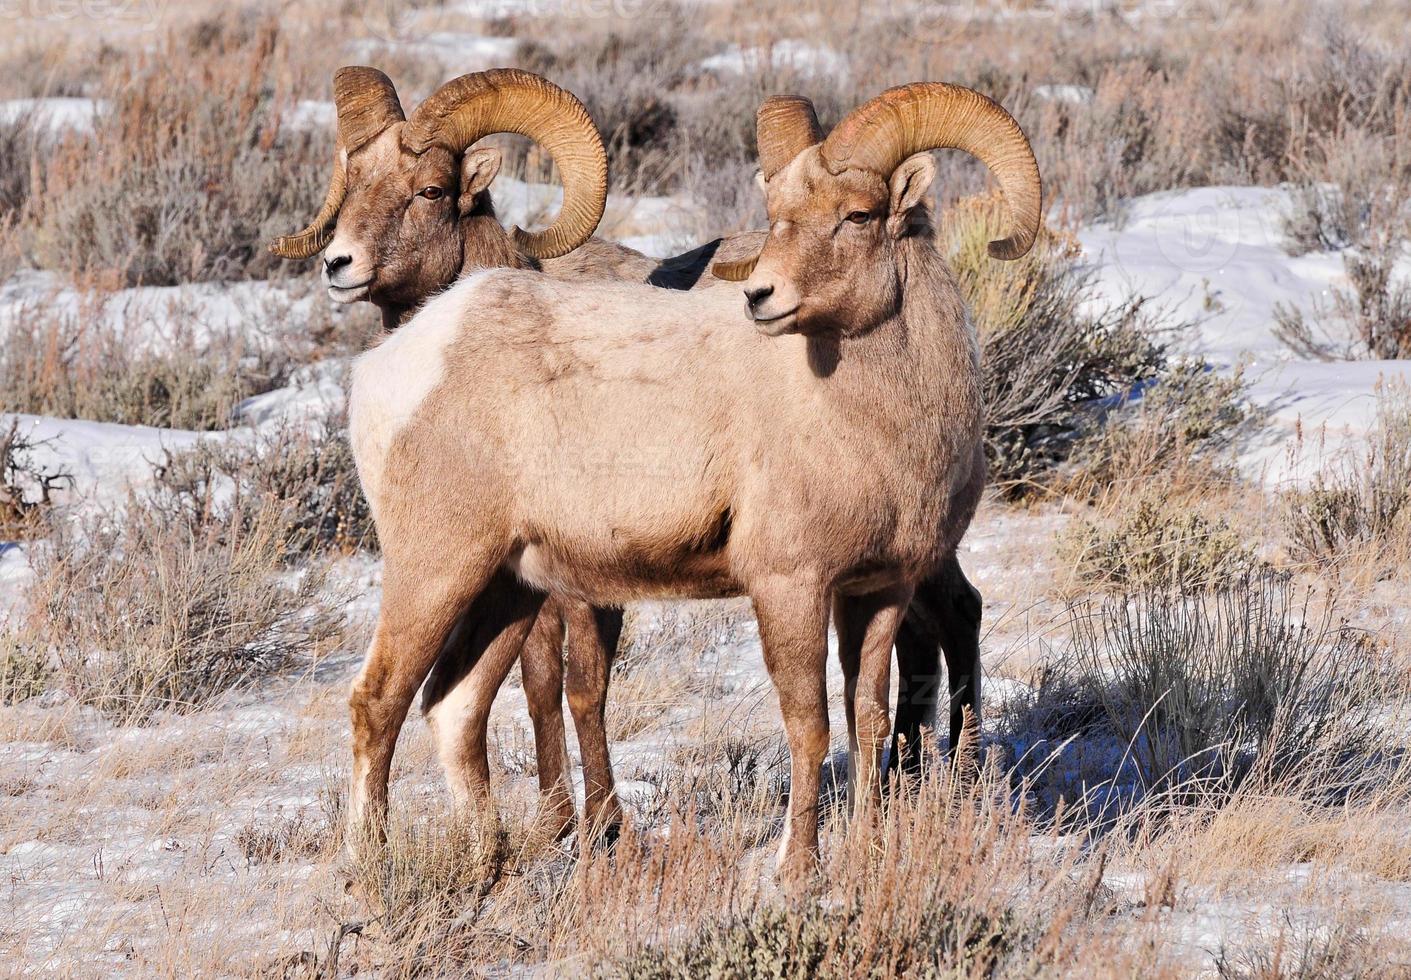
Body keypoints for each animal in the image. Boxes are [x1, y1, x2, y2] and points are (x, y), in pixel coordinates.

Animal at [272, 66, 993, 851]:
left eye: (859, 215)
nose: (338, 265)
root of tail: (401, 359)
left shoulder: (871, 584)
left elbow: (863, 715)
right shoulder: (782, 586)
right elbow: (786, 722)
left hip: (503, 586)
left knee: (453, 705)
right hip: (437, 570)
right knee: (380, 702)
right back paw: (376, 866)